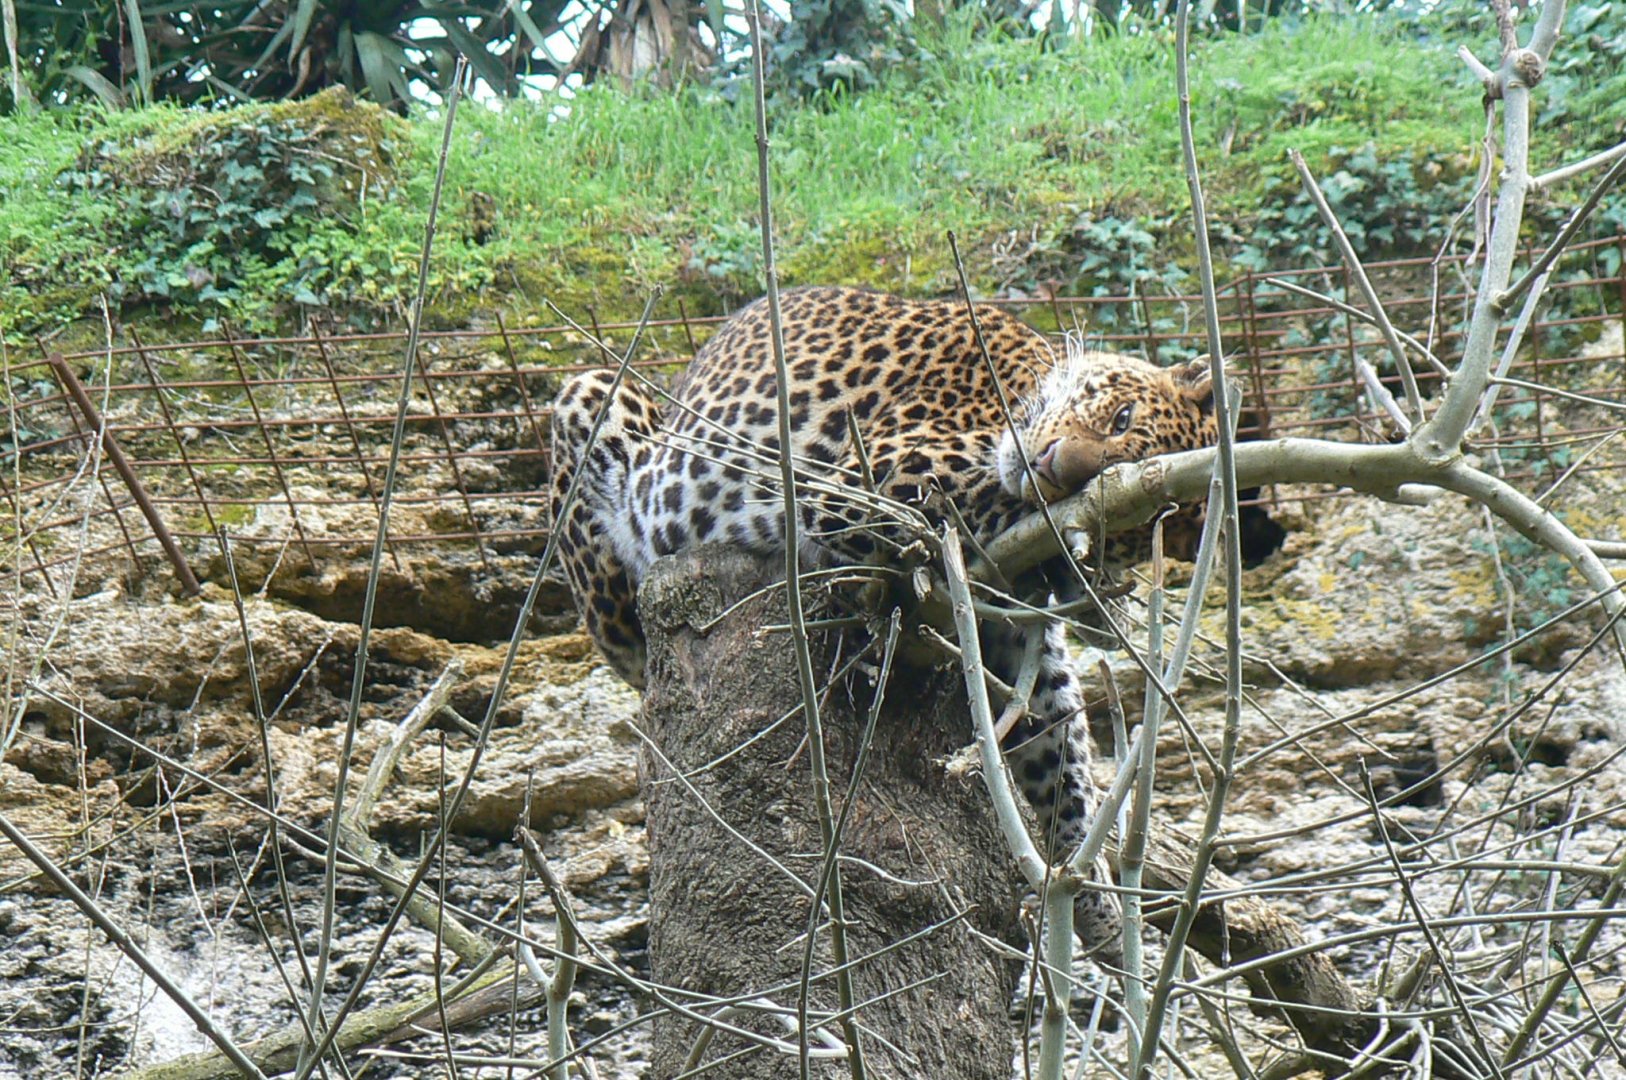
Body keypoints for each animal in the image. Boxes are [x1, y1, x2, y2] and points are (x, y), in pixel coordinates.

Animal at [548, 285, 1219, 963]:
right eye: (1122, 418)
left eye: (1131, 529)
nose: (1056, 468)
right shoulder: (876, 476)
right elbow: (985, 499)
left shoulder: (1011, 634)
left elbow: (1059, 750)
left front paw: (1098, 905)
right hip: (591, 404)